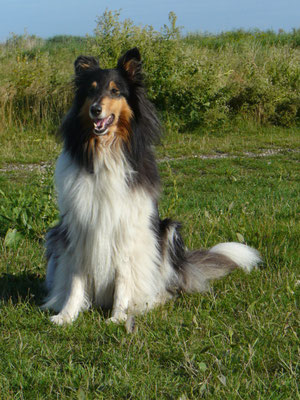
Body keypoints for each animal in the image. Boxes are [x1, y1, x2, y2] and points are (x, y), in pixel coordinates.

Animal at [43, 48, 262, 326]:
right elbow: (75, 278)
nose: (95, 110)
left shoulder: (128, 229)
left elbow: (124, 277)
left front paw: (118, 317)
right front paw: (66, 315)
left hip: (167, 231)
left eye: (115, 91)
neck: (106, 152)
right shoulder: (79, 227)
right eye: (91, 91)